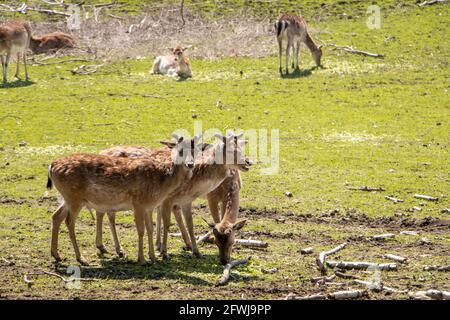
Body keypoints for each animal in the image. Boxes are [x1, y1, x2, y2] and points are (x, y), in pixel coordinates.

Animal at [46, 135, 200, 264]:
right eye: (180, 150)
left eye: (195, 150)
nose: (190, 164)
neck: (162, 183)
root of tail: (51, 166)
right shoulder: (138, 202)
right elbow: (141, 230)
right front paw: (142, 259)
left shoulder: (149, 206)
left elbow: (150, 229)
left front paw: (153, 257)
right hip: (74, 198)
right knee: (69, 222)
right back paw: (81, 258)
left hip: (67, 198)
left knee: (56, 216)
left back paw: (56, 255)